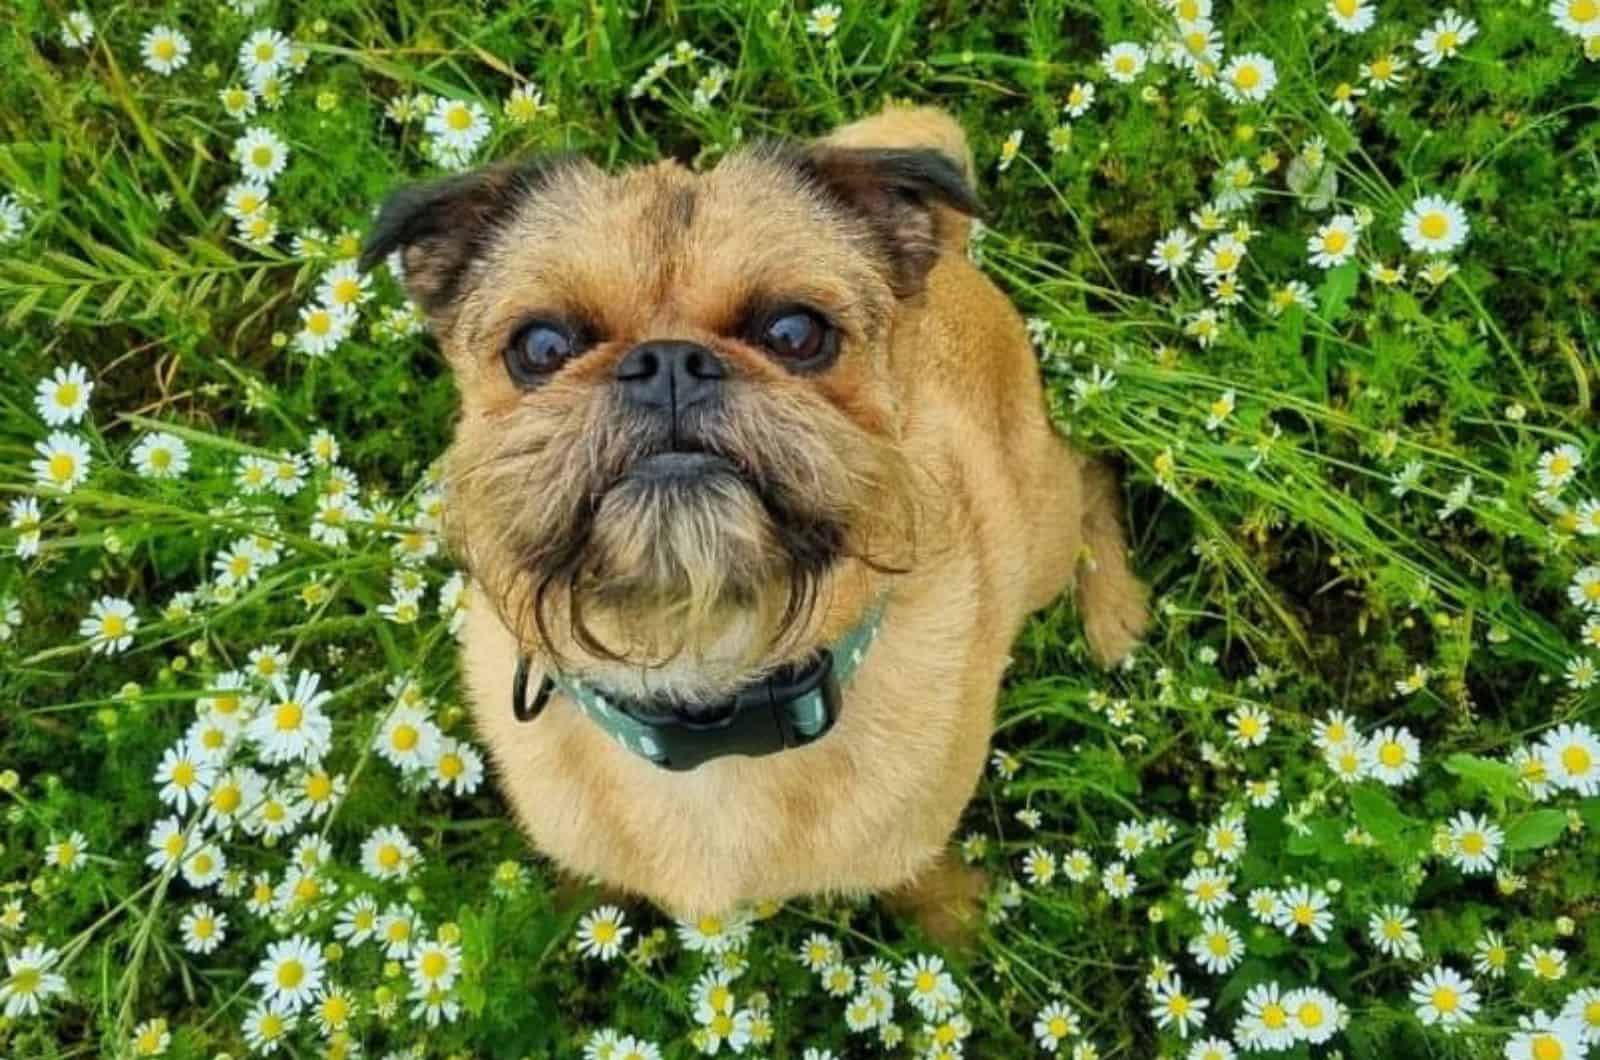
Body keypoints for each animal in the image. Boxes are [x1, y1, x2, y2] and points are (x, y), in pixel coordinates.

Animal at [360, 104, 1152, 941]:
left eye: (795, 334)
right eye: (541, 347)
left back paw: (1113, 613)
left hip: (1043, 532)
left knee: (1092, 472)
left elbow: (925, 881)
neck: (702, 689)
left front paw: (957, 930)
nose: (668, 361)